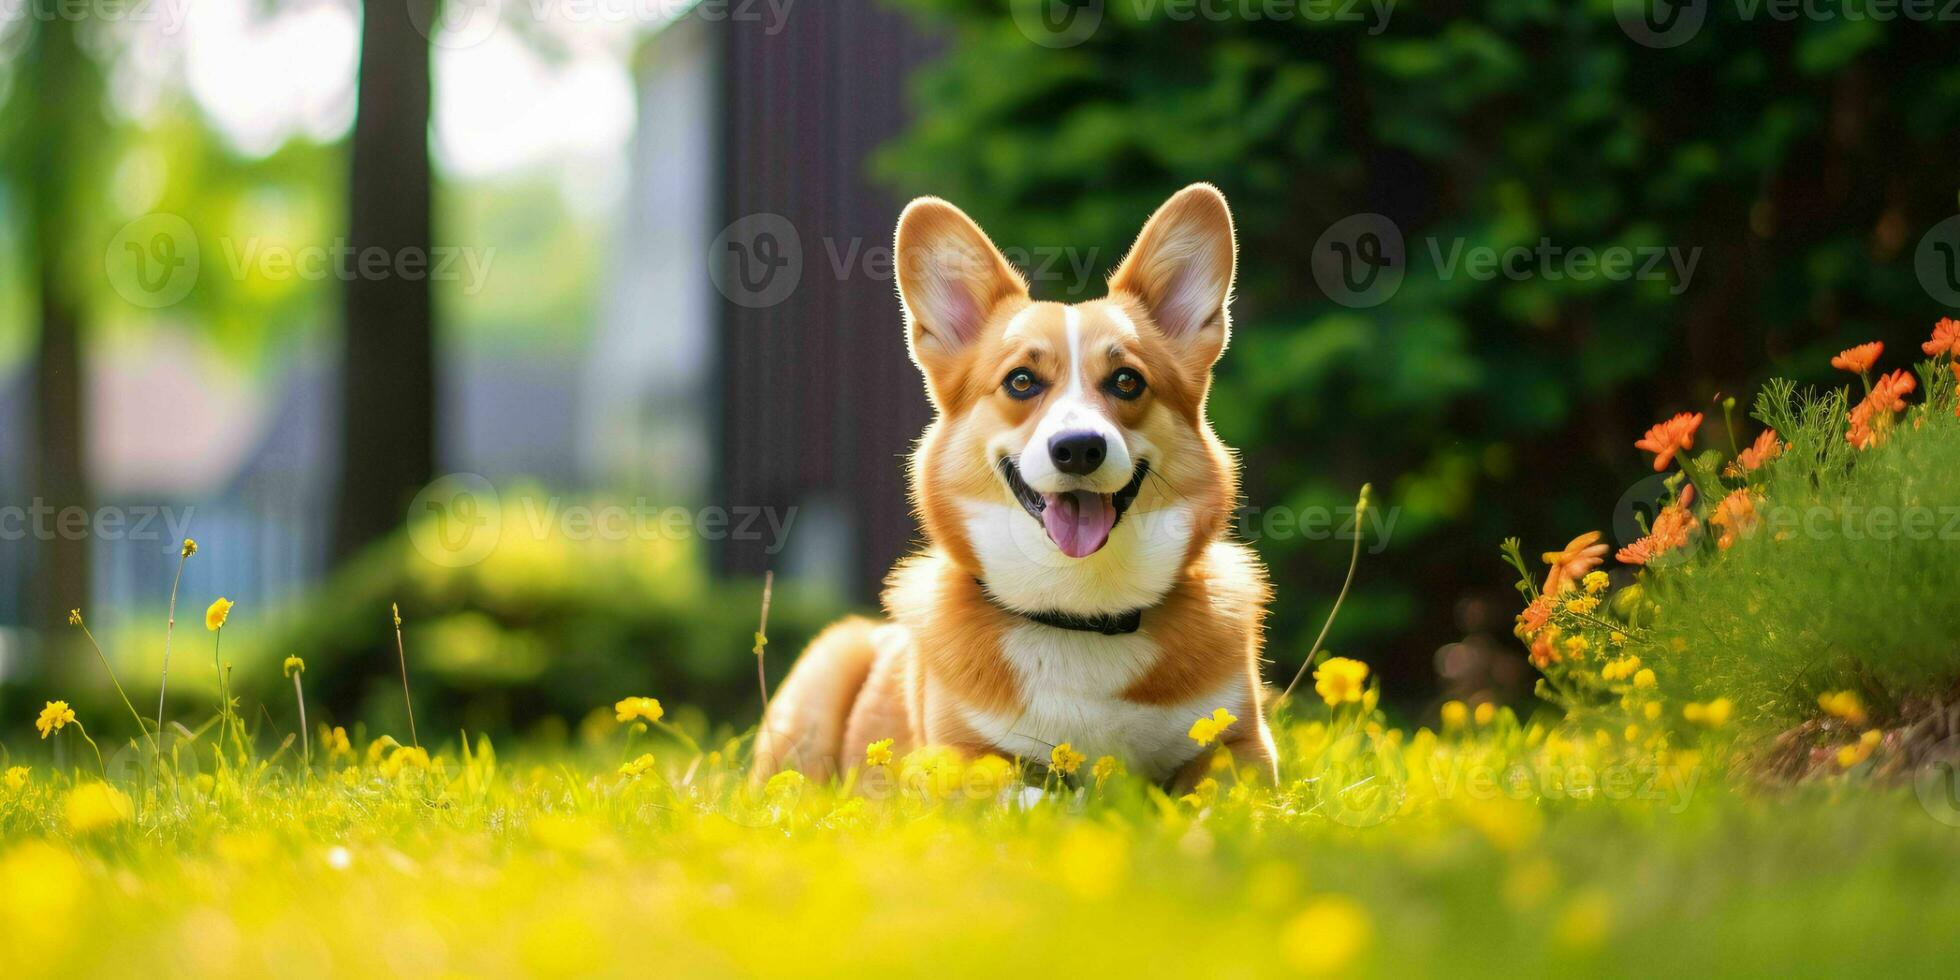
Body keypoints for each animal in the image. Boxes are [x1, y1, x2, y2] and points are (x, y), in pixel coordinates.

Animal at [744, 182, 1270, 787]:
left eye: (1127, 381)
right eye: (1021, 381)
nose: (1079, 448)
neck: (1080, 613)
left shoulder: (1243, 745)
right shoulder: (956, 757)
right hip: (825, 672)